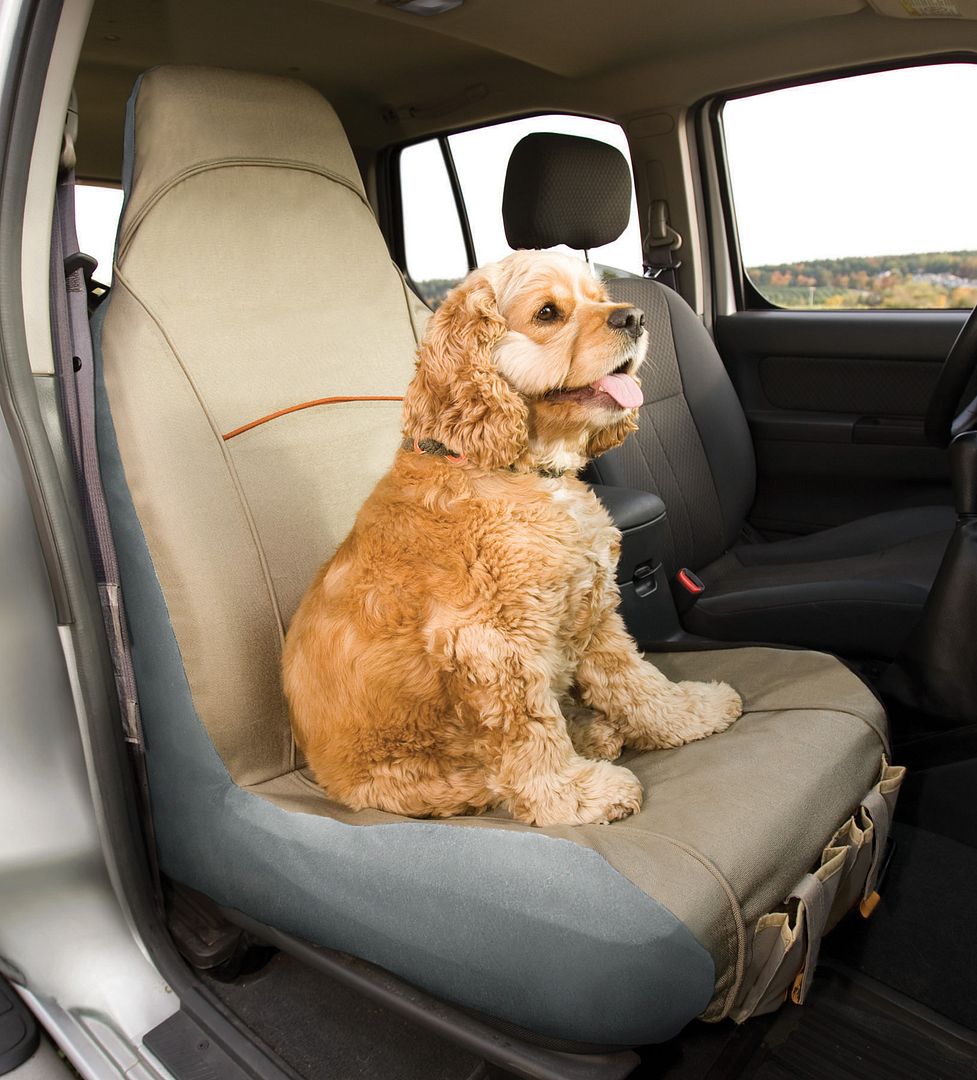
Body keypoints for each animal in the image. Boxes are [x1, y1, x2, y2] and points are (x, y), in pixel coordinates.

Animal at [282, 250, 738, 825]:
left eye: (600, 298)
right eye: (548, 312)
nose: (634, 317)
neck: (518, 471)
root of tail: (326, 779)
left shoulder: (591, 608)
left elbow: (634, 680)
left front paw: (691, 712)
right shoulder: (491, 646)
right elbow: (530, 735)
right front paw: (573, 796)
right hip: (410, 774)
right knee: (481, 777)